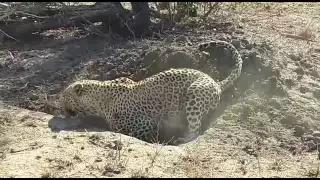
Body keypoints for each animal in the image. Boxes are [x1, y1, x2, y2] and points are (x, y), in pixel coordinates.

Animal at [57, 39, 242, 145]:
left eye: (64, 97)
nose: (59, 107)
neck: (100, 98)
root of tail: (216, 82)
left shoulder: (144, 124)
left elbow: (126, 131)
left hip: (194, 94)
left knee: (195, 129)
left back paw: (181, 139)